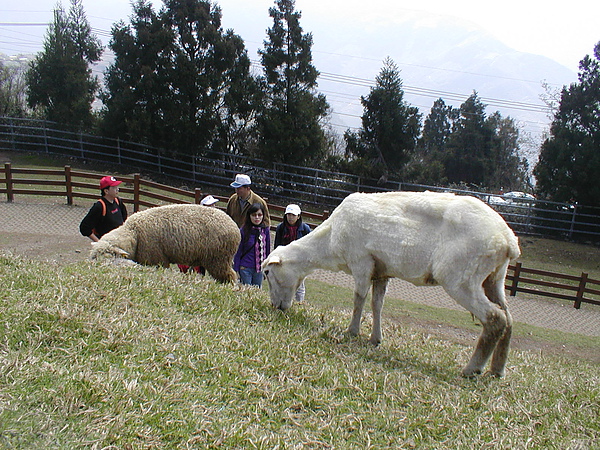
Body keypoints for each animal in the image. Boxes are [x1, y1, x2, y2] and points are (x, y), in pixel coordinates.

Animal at [90, 203, 240, 282]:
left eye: (110, 257)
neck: (134, 234)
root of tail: (234, 226)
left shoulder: (158, 259)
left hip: (218, 259)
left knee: (230, 276)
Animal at [262, 190, 520, 376]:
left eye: (266, 272)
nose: (276, 307)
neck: (329, 241)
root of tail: (508, 240)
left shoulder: (361, 261)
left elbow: (358, 299)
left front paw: (352, 332)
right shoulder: (382, 272)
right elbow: (377, 305)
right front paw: (375, 339)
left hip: (460, 276)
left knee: (495, 318)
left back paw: (471, 369)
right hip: (493, 277)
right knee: (508, 319)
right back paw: (497, 369)